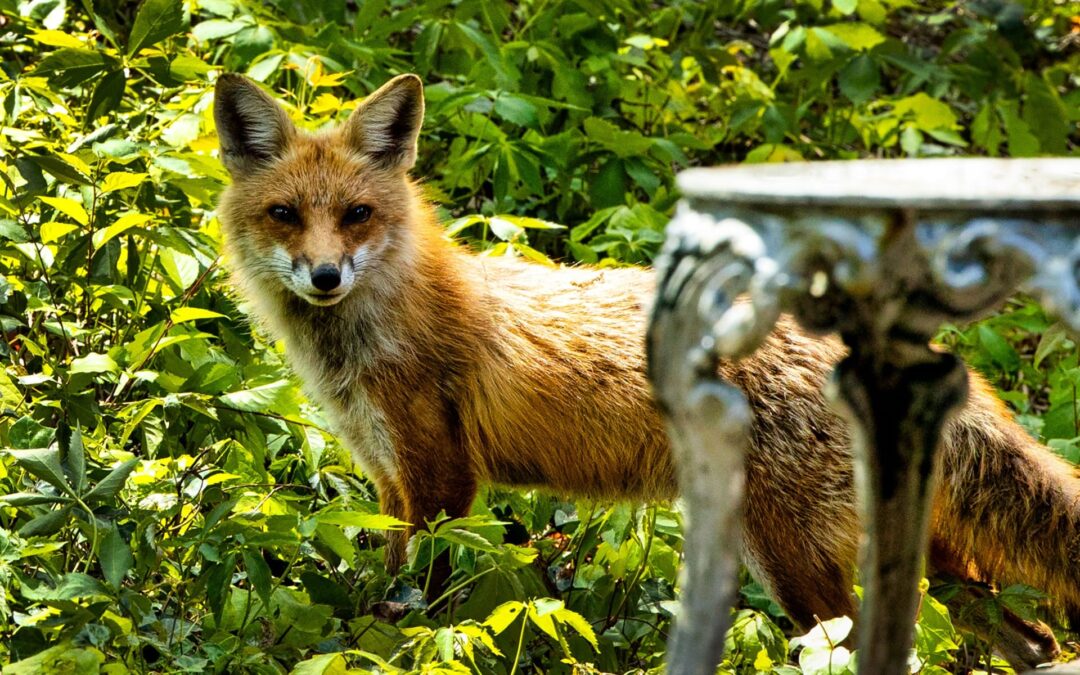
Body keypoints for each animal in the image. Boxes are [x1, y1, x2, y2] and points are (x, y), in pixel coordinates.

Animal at [213, 72, 1080, 668]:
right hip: (925, 555)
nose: (325, 275)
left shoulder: (440, 484)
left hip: (791, 563)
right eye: (285, 215)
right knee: (1034, 637)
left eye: (357, 215)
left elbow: (413, 611)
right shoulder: (391, 484)